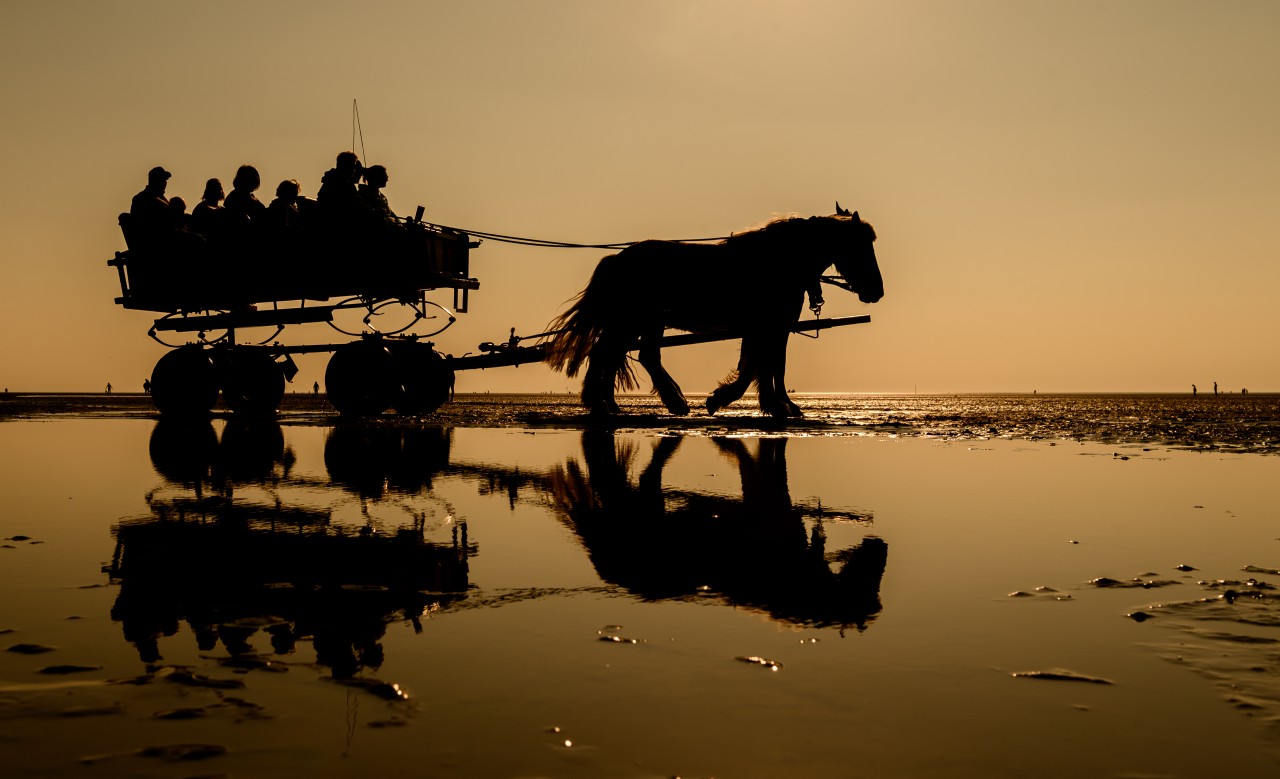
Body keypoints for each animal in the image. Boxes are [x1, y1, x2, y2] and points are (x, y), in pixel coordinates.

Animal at [540, 203, 880, 417]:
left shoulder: (772, 327)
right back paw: (611, 404)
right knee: (613, 353)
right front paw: (728, 399)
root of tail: (617, 259)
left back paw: (617, 403)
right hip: (634, 321)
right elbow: (761, 366)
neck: (777, 261)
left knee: (624, 355)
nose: (877, 290)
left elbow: (768, 365)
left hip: (640, 322)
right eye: (862, 246)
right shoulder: (767, 326)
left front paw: (776, 404)